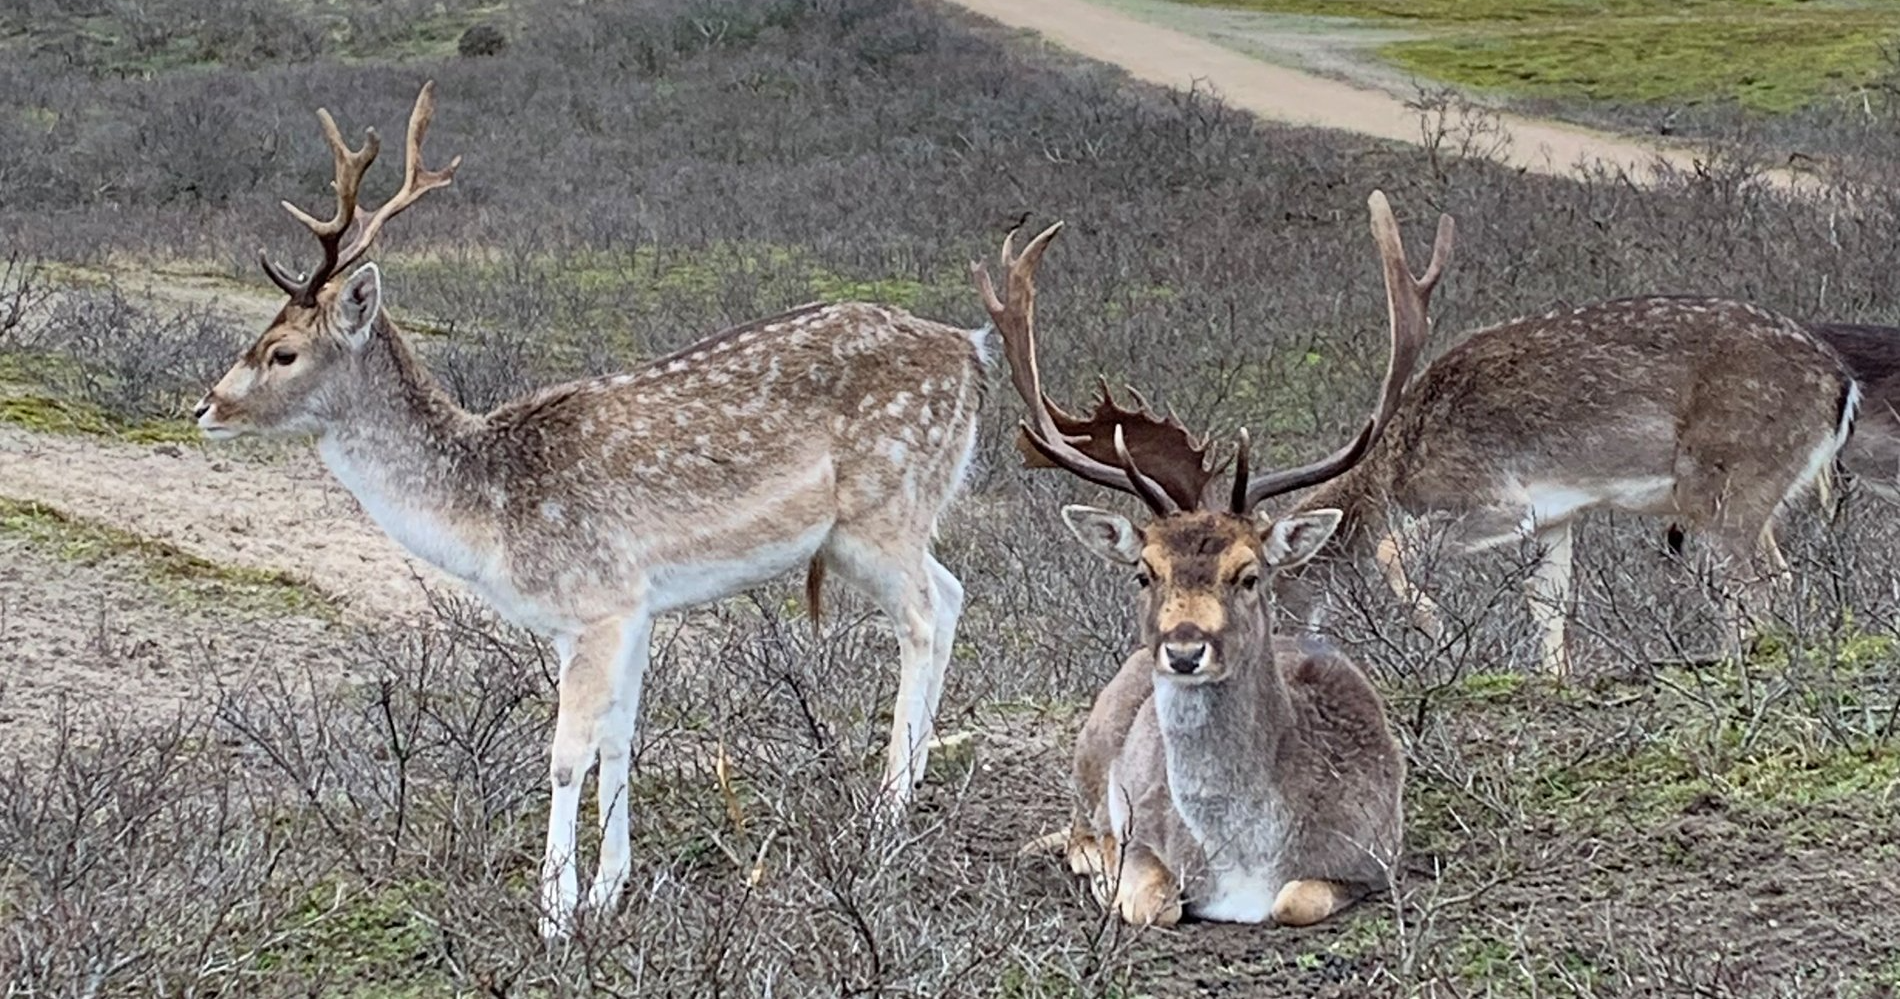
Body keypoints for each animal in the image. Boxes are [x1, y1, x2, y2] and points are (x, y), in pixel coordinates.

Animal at [198, 82, 988, 945]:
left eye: (283, 351)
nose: (207, 405)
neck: (494, 514)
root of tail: (973, 351)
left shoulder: (597, 600)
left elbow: (566, 752)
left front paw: (554, 912)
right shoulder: (633, 604)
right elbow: (619, 736)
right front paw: (611, 887)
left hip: (883, 504)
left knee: (922, 616)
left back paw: (886, 810)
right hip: (888, 521)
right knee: (952, 592)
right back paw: (914, 783)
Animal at [980, 189, 1436, 930]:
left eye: (1250, 575)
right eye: (1145, 571)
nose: (1184, 647)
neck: (1242, 860)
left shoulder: (1376, 856)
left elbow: (1295, 899)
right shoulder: (1143, 838)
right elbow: (1152, 903)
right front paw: (1113, 882)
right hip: (1088, 749)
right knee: (1072, 829)